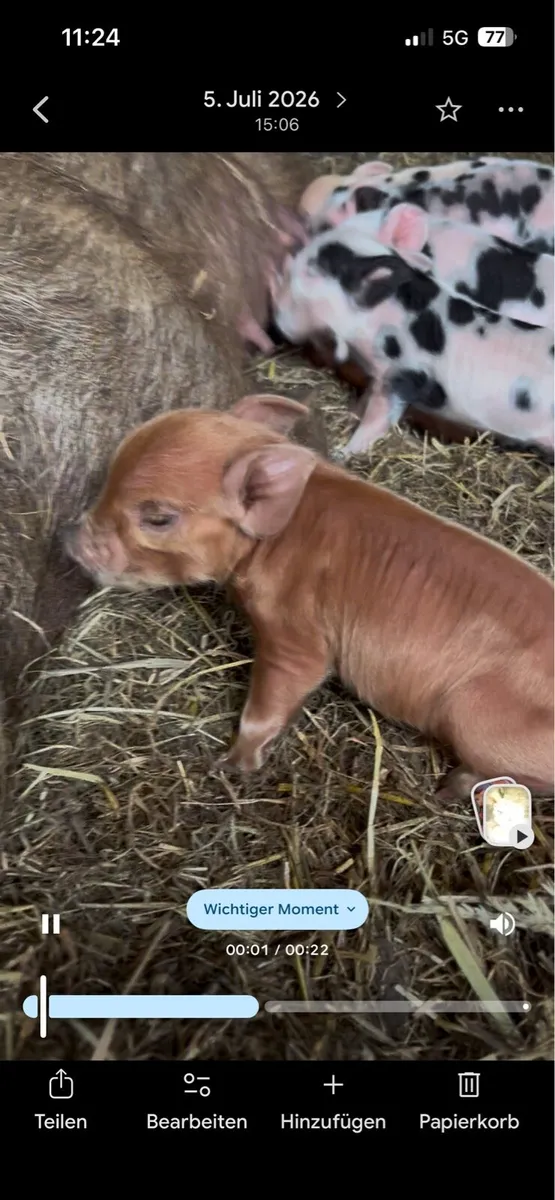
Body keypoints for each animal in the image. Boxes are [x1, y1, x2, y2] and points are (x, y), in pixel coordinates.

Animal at [66, 394, 554, 802]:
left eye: (158, 518)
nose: (71, 540)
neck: (276, 537)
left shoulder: (295, 636)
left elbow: (272, 700)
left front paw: (232, 765)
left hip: (474, 718)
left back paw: (453, 788)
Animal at [271, 214, 555, 457]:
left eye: (313, 269)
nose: (275, 321)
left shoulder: (403, 377)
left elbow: (377, 420)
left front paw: (342, 454)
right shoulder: (380, 376)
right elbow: (365, 401)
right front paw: (352, 412)